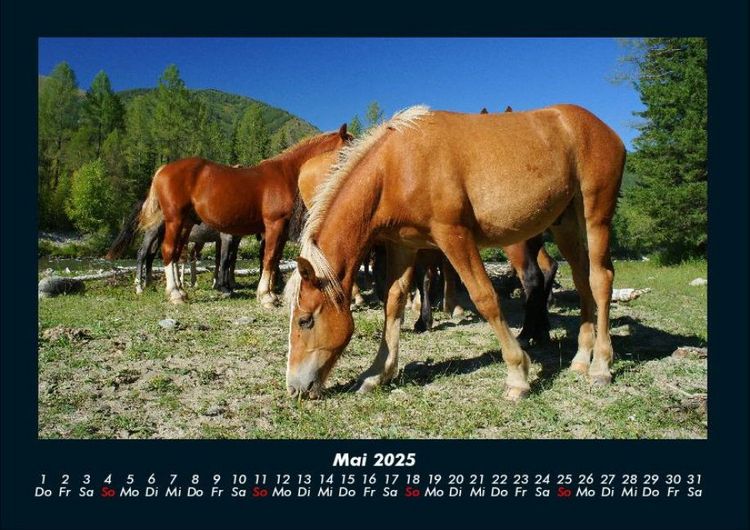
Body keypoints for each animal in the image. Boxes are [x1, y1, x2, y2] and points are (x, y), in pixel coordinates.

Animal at [138, 126, 352, 306]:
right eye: (347, 148)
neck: (285, 173)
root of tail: (163, 170)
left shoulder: (279, 230)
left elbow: (274, 259)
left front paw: (271, 293)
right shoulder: (274, 225)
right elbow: (269, 257)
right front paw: (266, 296)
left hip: (186, 223)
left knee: (175, 253)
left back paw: (180, 291)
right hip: (174, 220)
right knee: (167, 250)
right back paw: (173, 293)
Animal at [285, 105, 625, 400]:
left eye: (305, 320)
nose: (294, 387)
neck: (397, 165)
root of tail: (602, 128)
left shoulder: (454, 237)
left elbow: (485, 298)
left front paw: (518, 375)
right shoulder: (404, 246)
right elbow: (393, 303)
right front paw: (377, 373)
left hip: (595, 218)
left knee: (601, 280)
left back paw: (601, 366)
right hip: (566, 225)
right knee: (582, 281)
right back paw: (581, 358)